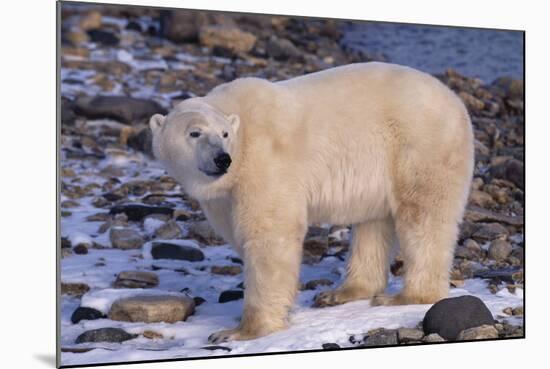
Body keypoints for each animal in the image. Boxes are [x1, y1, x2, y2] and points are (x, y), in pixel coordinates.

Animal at [149, 62, 476, 342]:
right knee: (372, 224)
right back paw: (342, 292)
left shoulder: (265, 163)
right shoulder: (224, 195)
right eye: (194, 133)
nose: (221, 159)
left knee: (423, 215)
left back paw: (405, 296)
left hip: (419, 145)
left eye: (224, 134)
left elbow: (270, 234)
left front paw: (240, 331)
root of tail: (456, 102)